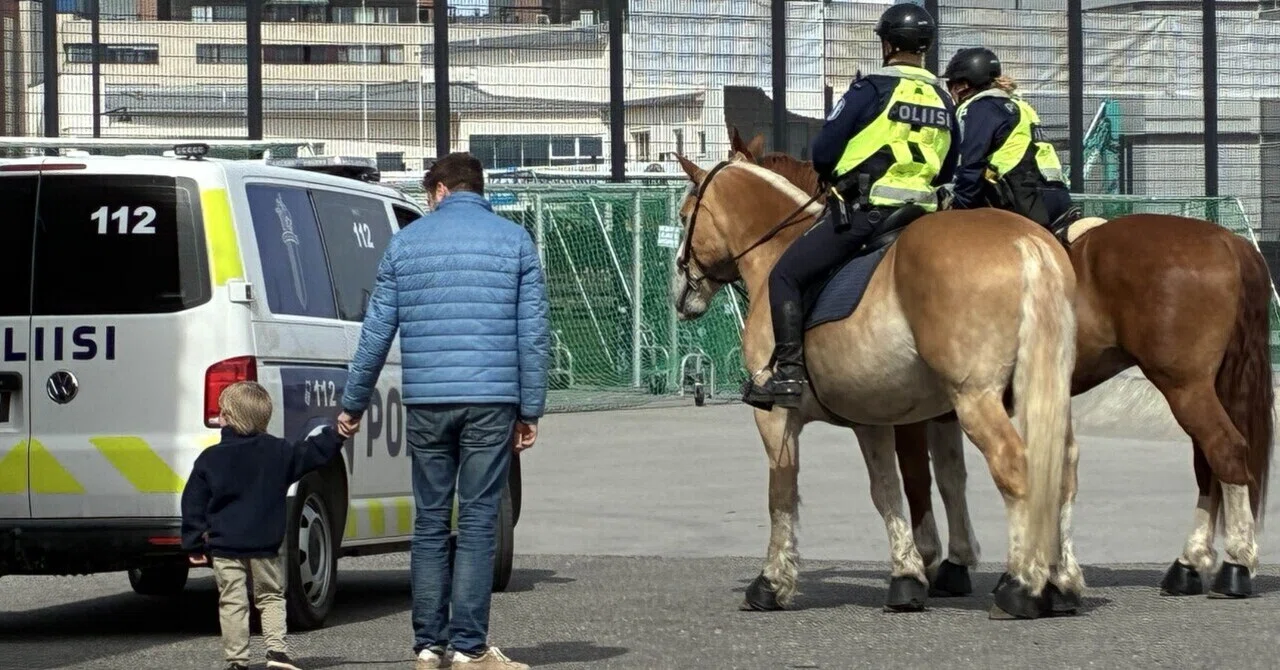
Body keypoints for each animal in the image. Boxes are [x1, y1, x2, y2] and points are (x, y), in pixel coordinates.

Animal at [671, 149, 1080, 620]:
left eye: (685, 216)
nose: (679, 287)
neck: (777, 250)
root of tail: (1025, 241)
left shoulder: (775, 417)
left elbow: (782, 495)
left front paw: (770, 583)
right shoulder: (874, 419)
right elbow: (889, 490)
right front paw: (907, 577)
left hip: (975, 399)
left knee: (1015, 466)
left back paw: (1022, 585)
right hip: (1043, 394)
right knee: (1062, 470)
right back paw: (1061, 583)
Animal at [728, 126, 1276, 600]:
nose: (700, 285)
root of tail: (1227, 241)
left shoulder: (907, 411)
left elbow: (916, 481)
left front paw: (930, 561)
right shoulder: (940, 409)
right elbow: (950, 478)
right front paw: (954, 562)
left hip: (1183, 385)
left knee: (1223, 453)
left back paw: (1230, 565)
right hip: (1201, 385)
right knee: (1208, 462)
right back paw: (1190, 563)